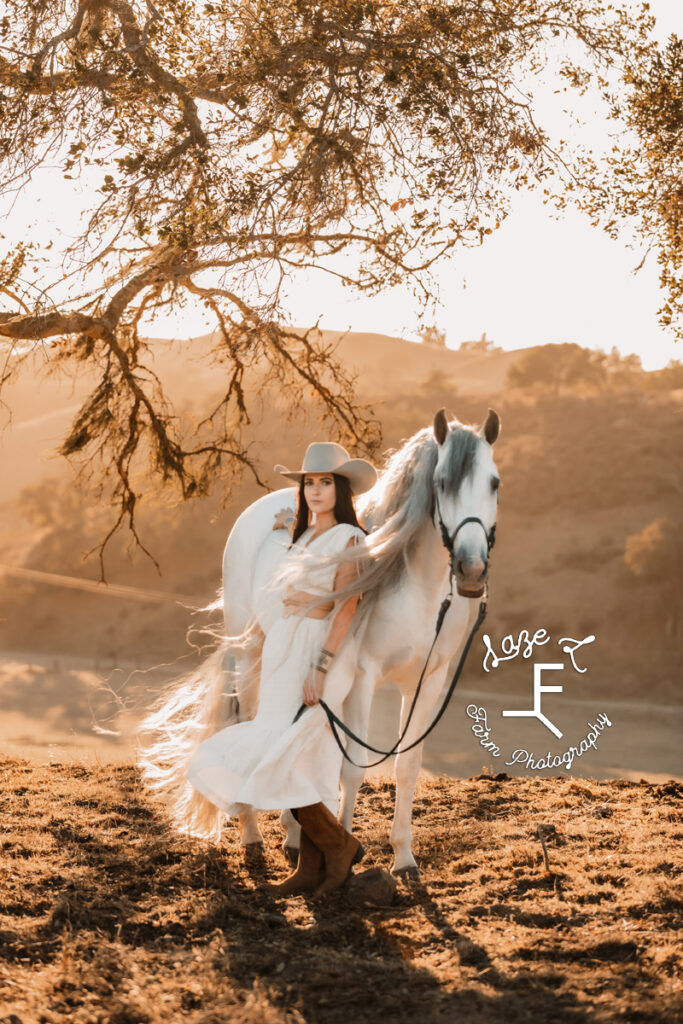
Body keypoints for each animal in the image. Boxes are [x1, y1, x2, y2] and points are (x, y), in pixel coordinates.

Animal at [222, 407, 499, 872]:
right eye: (442, 483)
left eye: (494, 482)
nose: (472, 570)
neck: (421, 590)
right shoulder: (362, 678)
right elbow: (353, 770)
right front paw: (347, 854)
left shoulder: (430, 682)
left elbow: (408, 766)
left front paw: (403, 857)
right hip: (249, 654)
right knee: (249, 723)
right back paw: (251, 832)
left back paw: (292, 833)